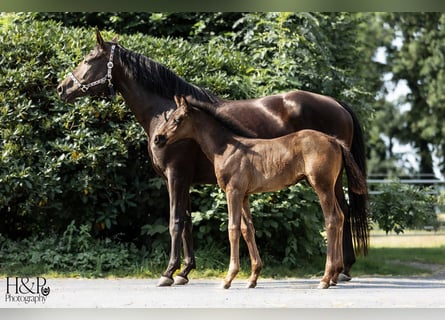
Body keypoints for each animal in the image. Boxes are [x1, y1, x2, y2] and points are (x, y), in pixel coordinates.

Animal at [153, 95, 368, 290]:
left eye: (177, 119)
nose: (157, 139)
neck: (227, 148)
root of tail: (334, 141)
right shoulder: (245, 195)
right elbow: (248, 229)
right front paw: (253, 278)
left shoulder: (233, 191)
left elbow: (233, 229)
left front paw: (228, 278)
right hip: (331, 185)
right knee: (340, 216)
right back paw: (334, 275)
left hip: (322, 185)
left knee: (332, 219)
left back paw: (325, 278)